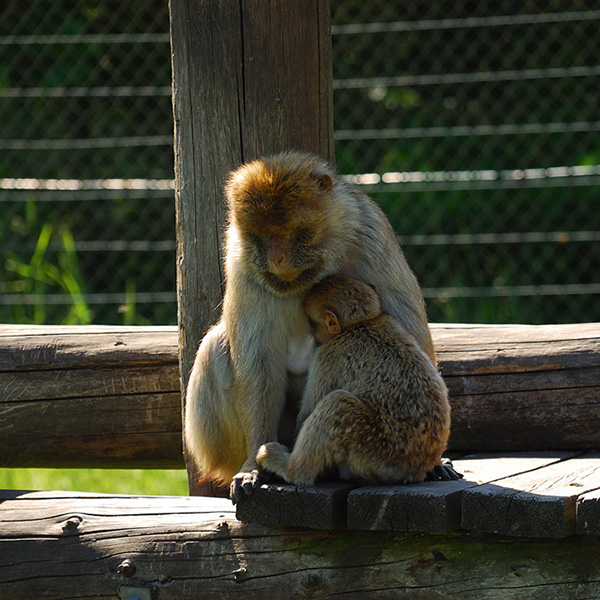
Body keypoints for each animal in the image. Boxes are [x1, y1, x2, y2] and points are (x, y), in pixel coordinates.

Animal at [256, 274, 450, 486]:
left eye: (311, 323)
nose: (312, 334)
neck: (361, 323)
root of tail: (416, 469)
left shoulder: (327, 356)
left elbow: (308, 412)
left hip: (375, 449)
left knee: (338, 404)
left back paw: (289, 467)